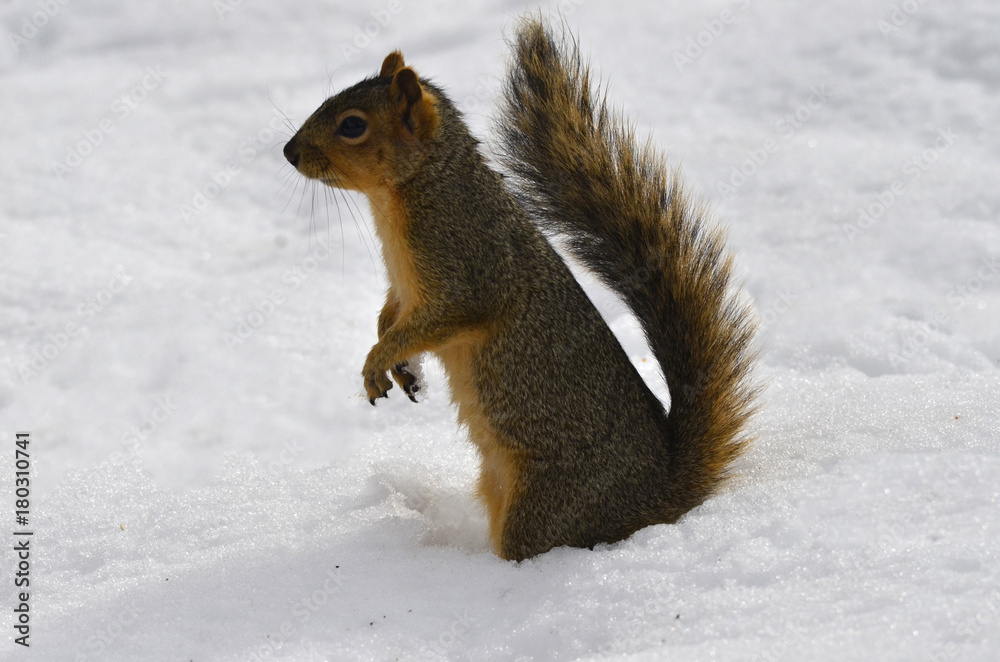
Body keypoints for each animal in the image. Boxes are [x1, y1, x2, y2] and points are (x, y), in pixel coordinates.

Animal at [282, 16, 759, 562]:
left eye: (352, 125)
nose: (289, 152)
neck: (410, 190)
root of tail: (660, 496)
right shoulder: (404, 291)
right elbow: (390, 315)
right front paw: (400, 364)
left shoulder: (468, 267)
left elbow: (442, 317)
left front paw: (378, 359)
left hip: (548, 507)